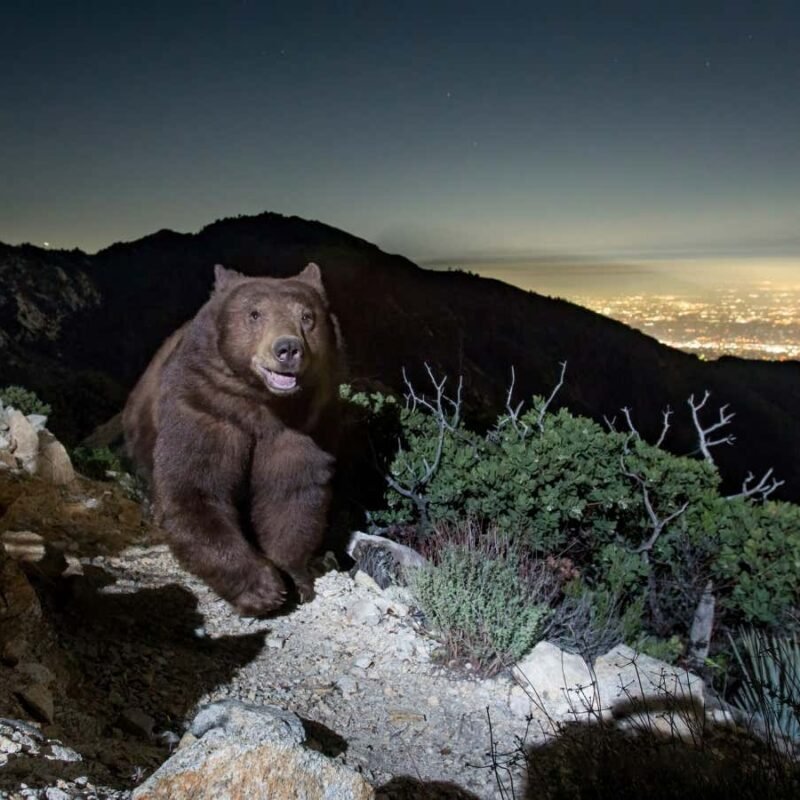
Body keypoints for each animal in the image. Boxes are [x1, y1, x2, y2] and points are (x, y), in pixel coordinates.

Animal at [122, 262, 343, 615]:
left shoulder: (303, 427)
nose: (287, 349)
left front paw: (296, 577)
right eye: (255, 314)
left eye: (307, 316)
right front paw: (263, 588)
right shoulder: (206, 407)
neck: (263, 405)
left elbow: (290, 495)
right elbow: (196, 490)